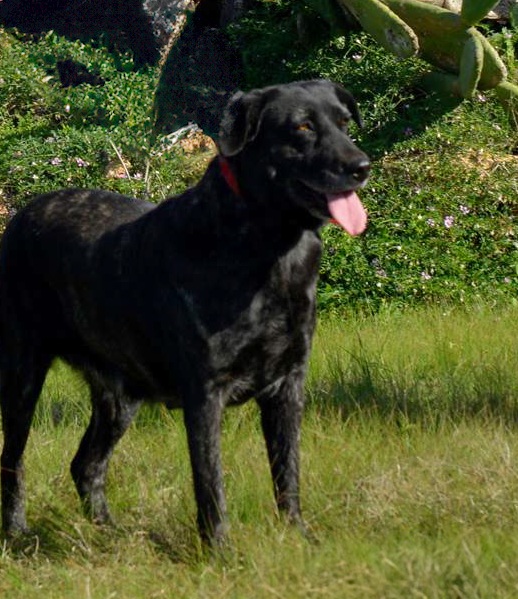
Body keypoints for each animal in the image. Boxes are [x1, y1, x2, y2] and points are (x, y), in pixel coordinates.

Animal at [0, 79, 370, 544]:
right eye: (302, 126)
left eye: (344, 121)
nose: (361, 166)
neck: (270, 248)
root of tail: (19, 217)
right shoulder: (205, 392)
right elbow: (210, 484)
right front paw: (220, 549)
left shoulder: (288, 382)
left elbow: (287, 472)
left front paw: (298, 535)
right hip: (23, 373)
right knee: (12, 462)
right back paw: (17, 533)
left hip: (120, 395)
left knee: (86, 464)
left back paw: (110, 531)